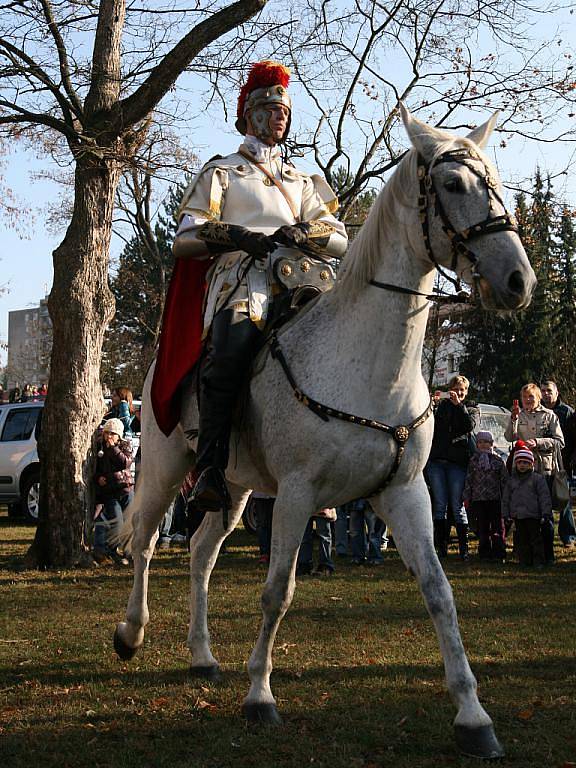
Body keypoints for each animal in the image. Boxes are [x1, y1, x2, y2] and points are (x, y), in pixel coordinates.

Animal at [112, 105, 536, 760]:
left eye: (496, 180)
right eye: (452, 184)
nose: (517, 280)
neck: (366, 365)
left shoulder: (405, 492)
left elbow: (439, 592)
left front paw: (473, 716)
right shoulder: (297, 494)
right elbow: (277, 591)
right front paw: (260, 696)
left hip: (232, 486)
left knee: (203, 555)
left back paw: (203, 656)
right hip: (164, 468)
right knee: (148, 544)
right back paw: (131, 634)